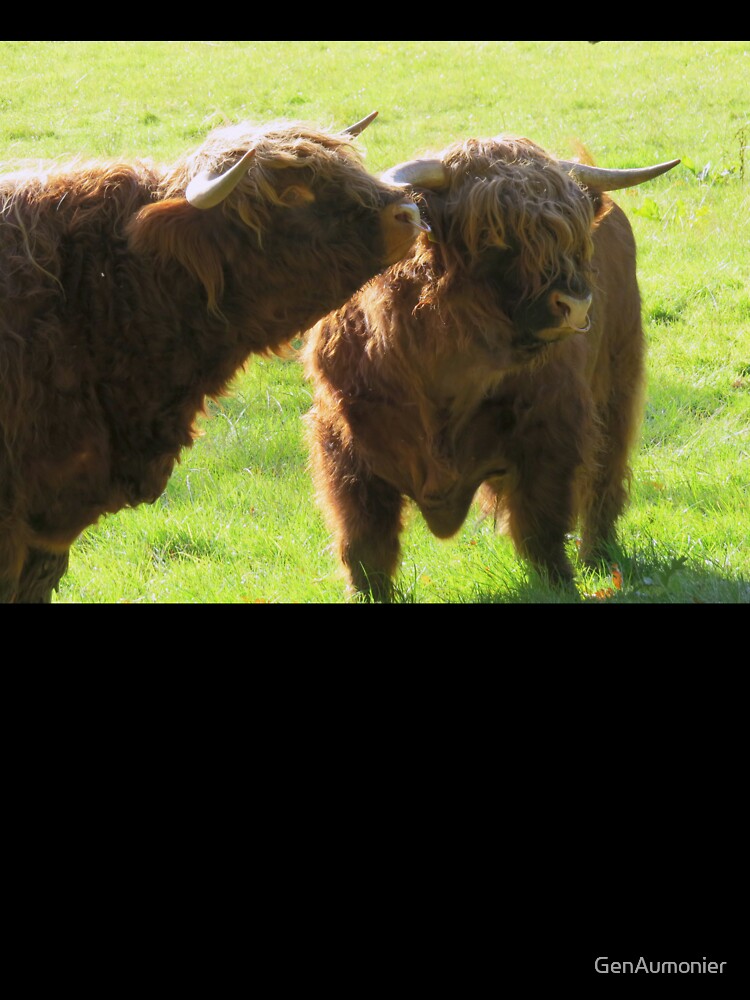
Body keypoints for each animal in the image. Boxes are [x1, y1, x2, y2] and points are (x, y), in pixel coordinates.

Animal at [301, 134, 680, 601]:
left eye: (572, 235)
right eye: (492, 235)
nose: (575, 304)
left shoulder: (553, 430)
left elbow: (542, 524)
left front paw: (560, 583)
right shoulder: (345, 447)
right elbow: (363, 541)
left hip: (616, 386)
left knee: (604, 479)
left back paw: (599, 558)